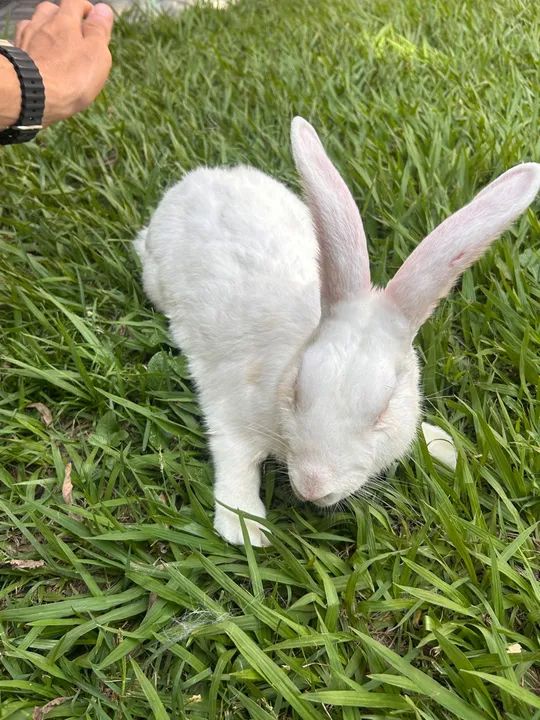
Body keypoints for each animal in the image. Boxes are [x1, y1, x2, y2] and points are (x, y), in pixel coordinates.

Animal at [136, 116, 540, 547]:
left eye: (384, 410)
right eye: (296, 391)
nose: (313, 486)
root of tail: (196, 180)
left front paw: (445, 447)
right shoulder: (230, 410)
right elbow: (235, 459)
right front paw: (245, 528)